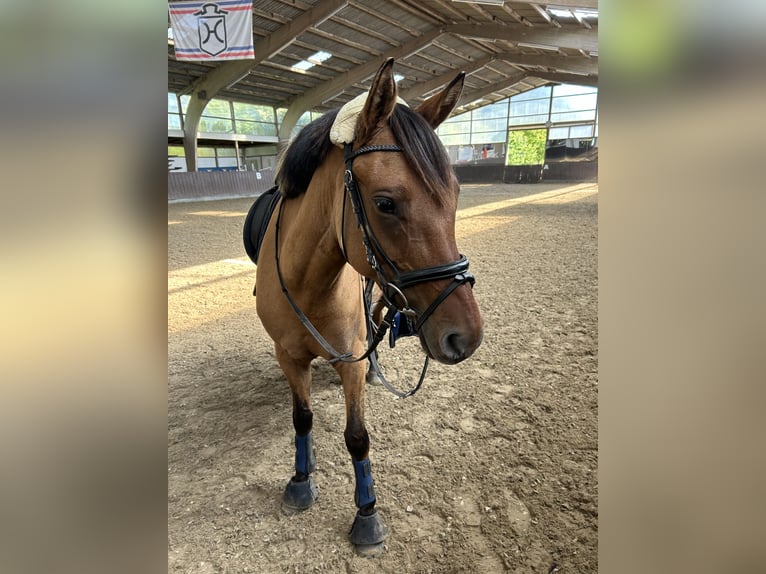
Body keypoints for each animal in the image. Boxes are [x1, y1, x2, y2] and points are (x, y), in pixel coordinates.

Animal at [249, 57, 484, 552]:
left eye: (455, 195)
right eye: (385, 203)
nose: (466, 336)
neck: (306, 283)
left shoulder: (349, 358)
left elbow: (357, 437)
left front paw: (367, 513)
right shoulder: (288, 356)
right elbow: (302, 418)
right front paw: (301, 480)